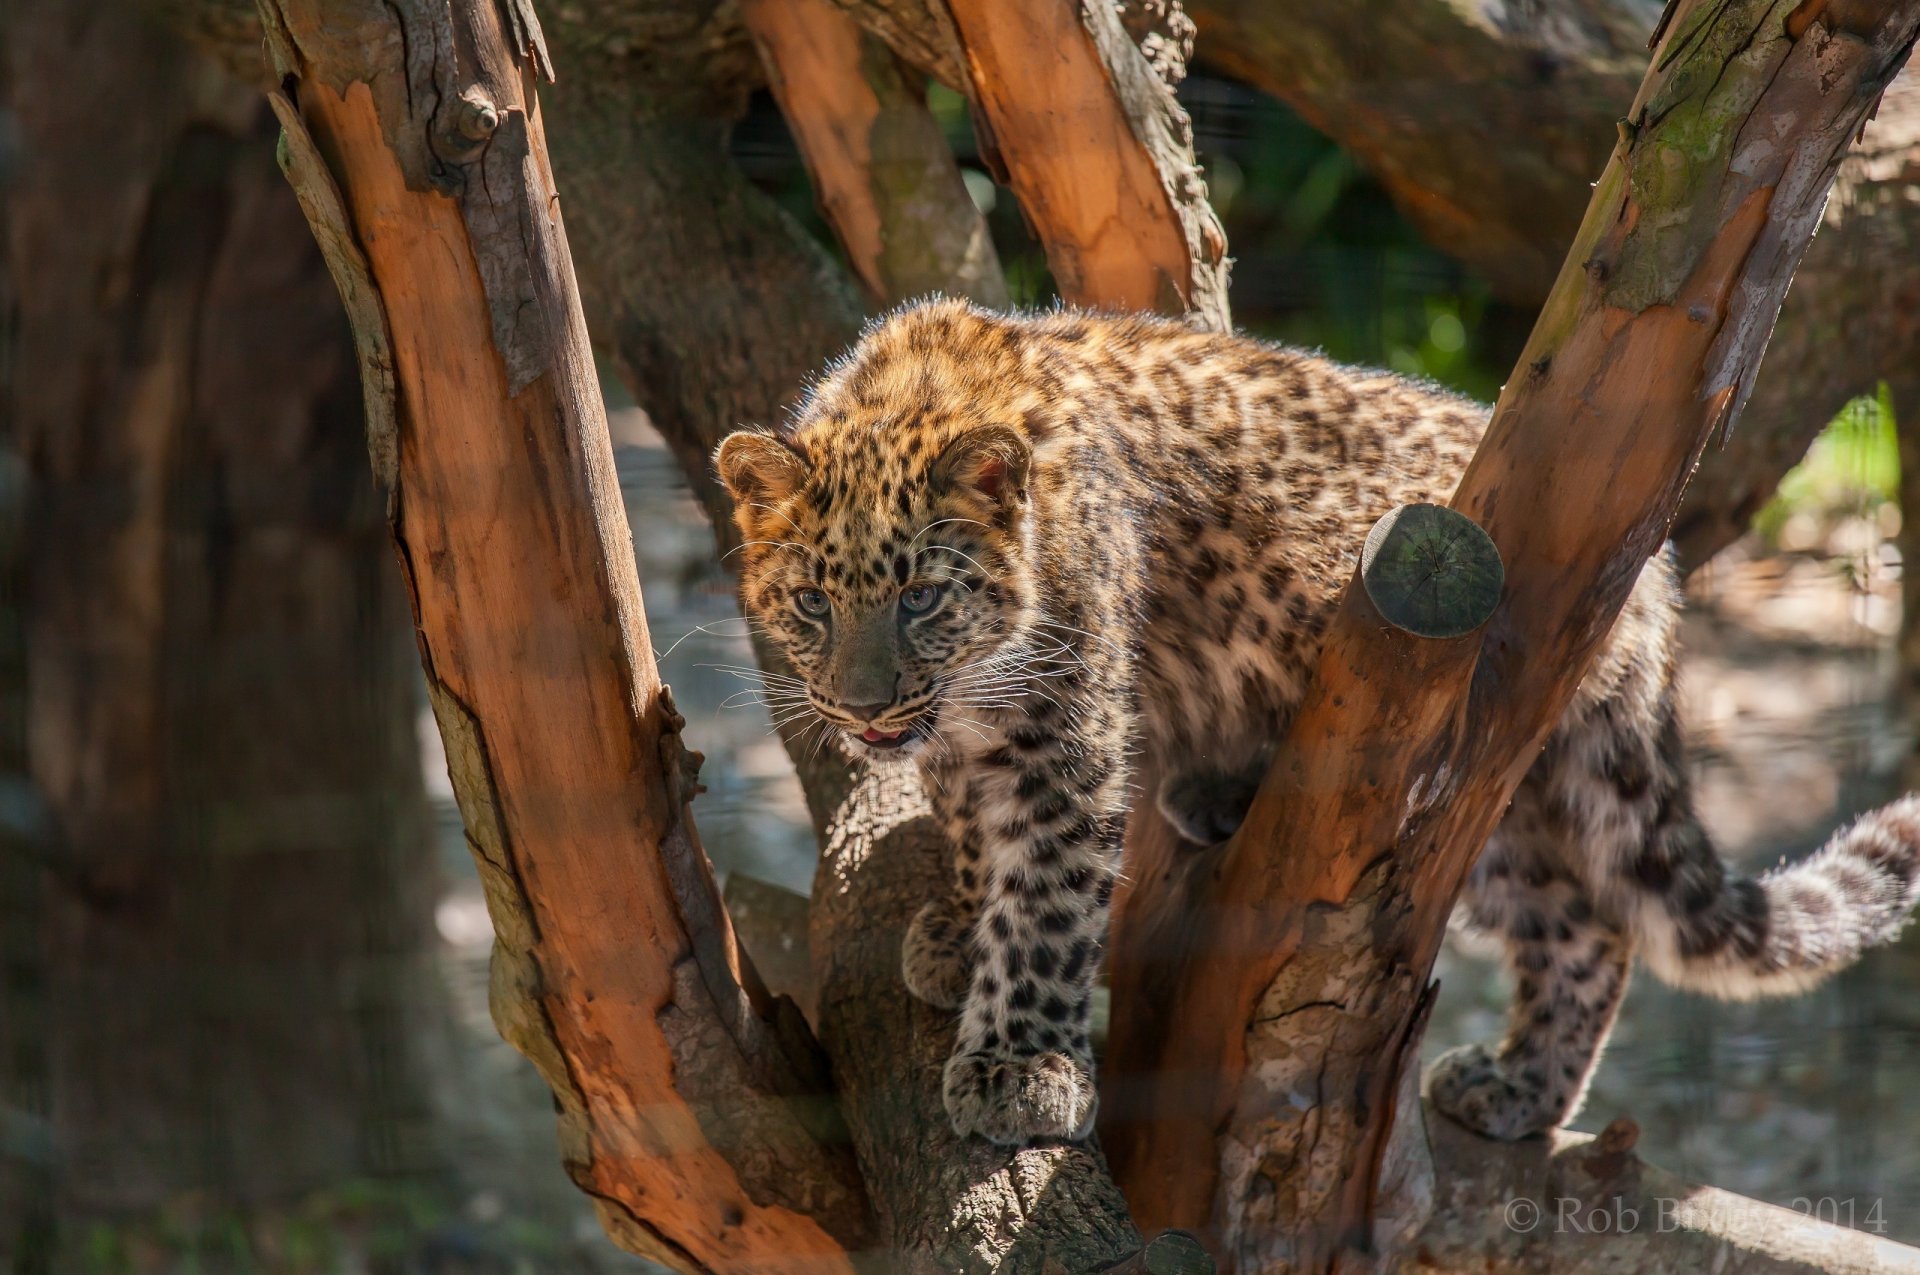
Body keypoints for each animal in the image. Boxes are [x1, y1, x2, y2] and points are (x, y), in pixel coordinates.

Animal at [713, 298, 1920, 1146]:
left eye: (922, 597)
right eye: (812, 602)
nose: (864, 705)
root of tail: (1658, 578)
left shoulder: (1067, 732)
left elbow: (1048, 898)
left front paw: (1021, 1068)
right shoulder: (965, 737)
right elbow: (973, 834)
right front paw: (960, 933)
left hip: (1464, 752)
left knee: (1584, 912)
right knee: (1582, 921)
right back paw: (1516, 1087)